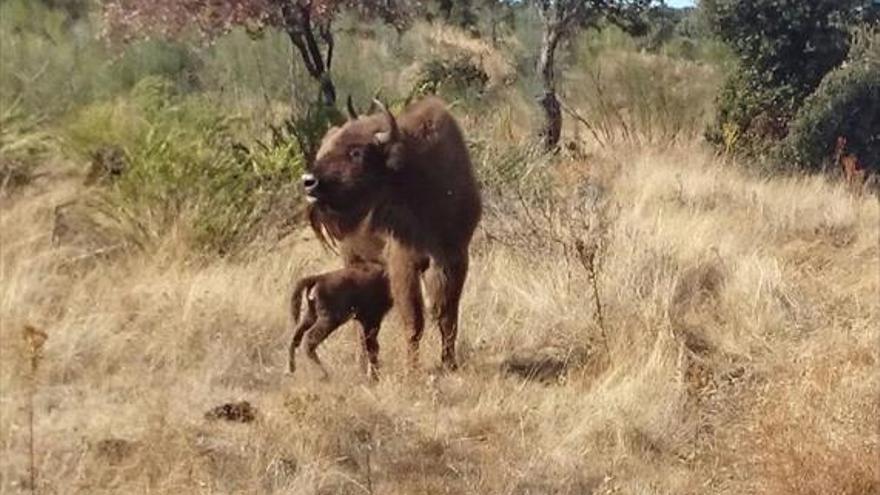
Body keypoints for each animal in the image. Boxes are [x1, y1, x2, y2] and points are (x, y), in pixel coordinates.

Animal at [302, 96, 482, 368]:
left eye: (357, 152)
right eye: (331, 149)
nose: (309, 182)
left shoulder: (454, 259)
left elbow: (447, 316)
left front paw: (449, 364)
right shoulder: (404, 263)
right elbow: (414, 320)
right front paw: (412, 369)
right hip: (352, 257)